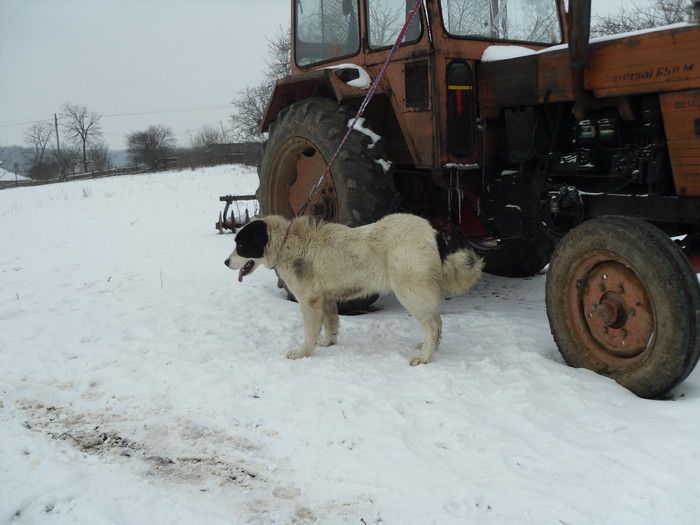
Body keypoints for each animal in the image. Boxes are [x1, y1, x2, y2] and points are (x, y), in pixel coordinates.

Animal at [224, 213, 482, 364]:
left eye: (241, 246)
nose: (226, 262)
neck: (286, 242)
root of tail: (433, 232)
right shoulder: (326, 298)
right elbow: (331, 324)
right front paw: (328, 343)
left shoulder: (309, 300)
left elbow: (309, 332)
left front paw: (302, 353)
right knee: (437, 321)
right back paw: (431, 348)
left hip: (410, 292)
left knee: (431, 325)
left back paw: (425, 356)